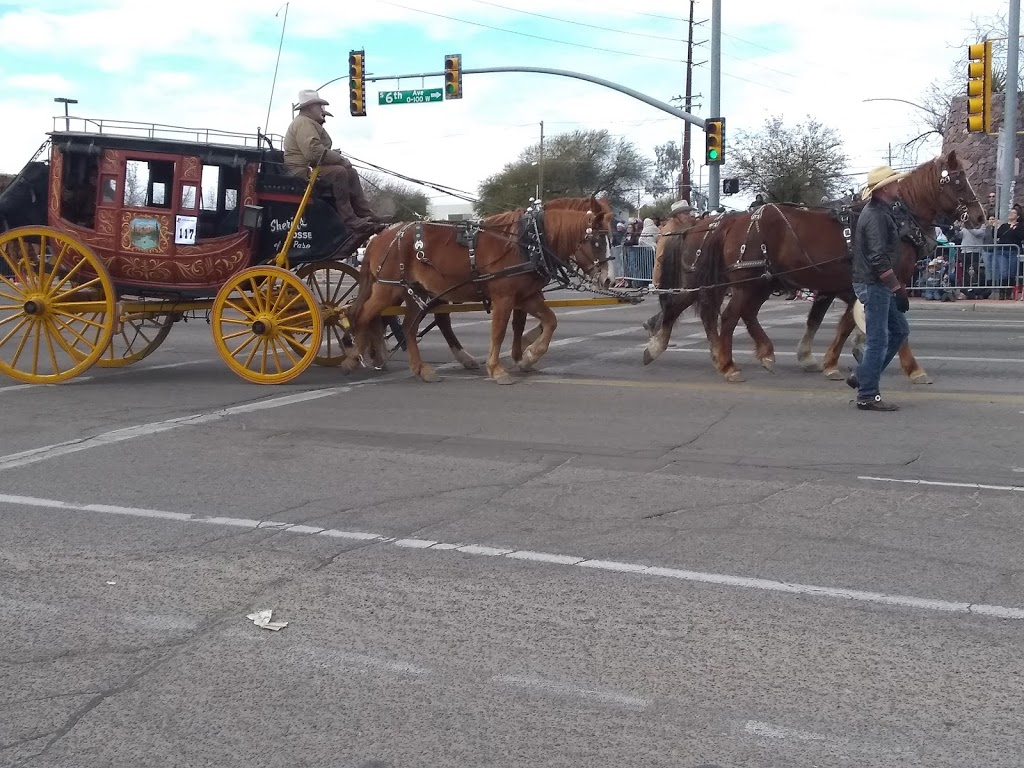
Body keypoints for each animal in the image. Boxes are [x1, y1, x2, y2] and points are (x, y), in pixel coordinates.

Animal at [348, 195, 610, 382]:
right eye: (597, 241)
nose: (607, 280)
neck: (528, 241)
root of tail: (380, 237)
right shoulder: (504, 297)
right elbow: (499, 331)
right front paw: (497, 369)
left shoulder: (526, 295)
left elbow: (550, 321)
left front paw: (528, 357)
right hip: (388, 289)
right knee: (360, 315)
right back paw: (354, 357)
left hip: (417, 292)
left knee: (407, 327)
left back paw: (421, 368)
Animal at [688, 153, 983, 385]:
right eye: (958, 180)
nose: (979, 216)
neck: (898, 220)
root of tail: (734, 218)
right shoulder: (886, 284)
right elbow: (856, 326)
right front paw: (913, 369)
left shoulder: (843, 288)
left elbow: (829, 322)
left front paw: (823, 359)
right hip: (747, 282)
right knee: (729, 317)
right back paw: (728, 365)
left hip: (763, 281)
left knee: (747, 314)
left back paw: (764, 353)